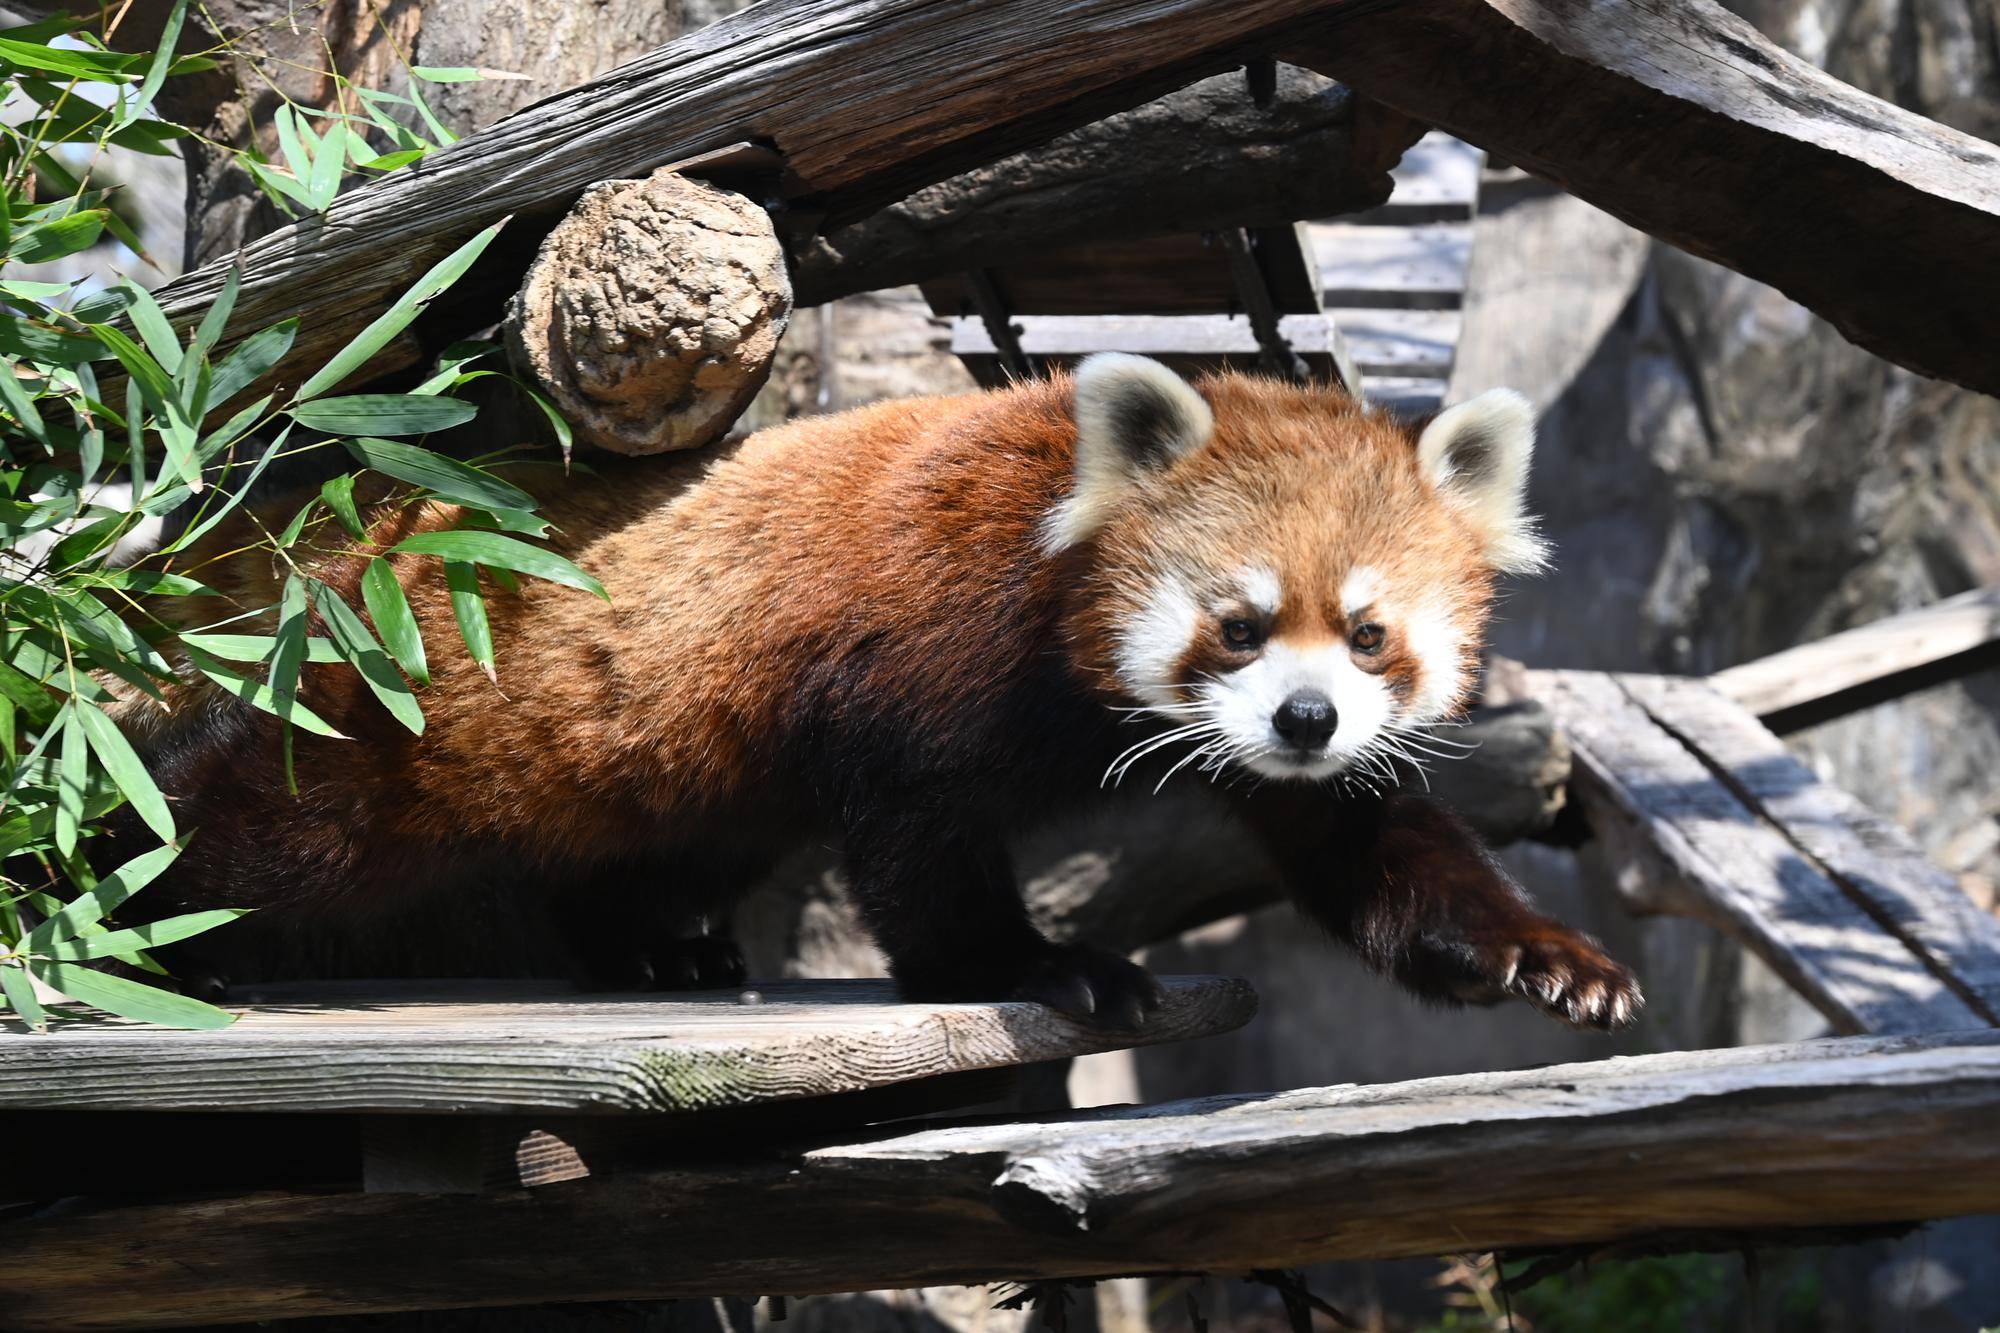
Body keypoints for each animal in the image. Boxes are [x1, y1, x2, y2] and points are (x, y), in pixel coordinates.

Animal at [113, 352, 1640, 1024]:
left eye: (1369, 636)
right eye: (1240, 625)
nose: (1304, 720)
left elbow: (1369, 849)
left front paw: (1545, 957)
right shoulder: (917, 652)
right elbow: (921, 843)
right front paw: (1039, 967)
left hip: (671, 768)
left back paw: (653, 950)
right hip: (386, 714)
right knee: (254, 818)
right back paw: (120, 919)